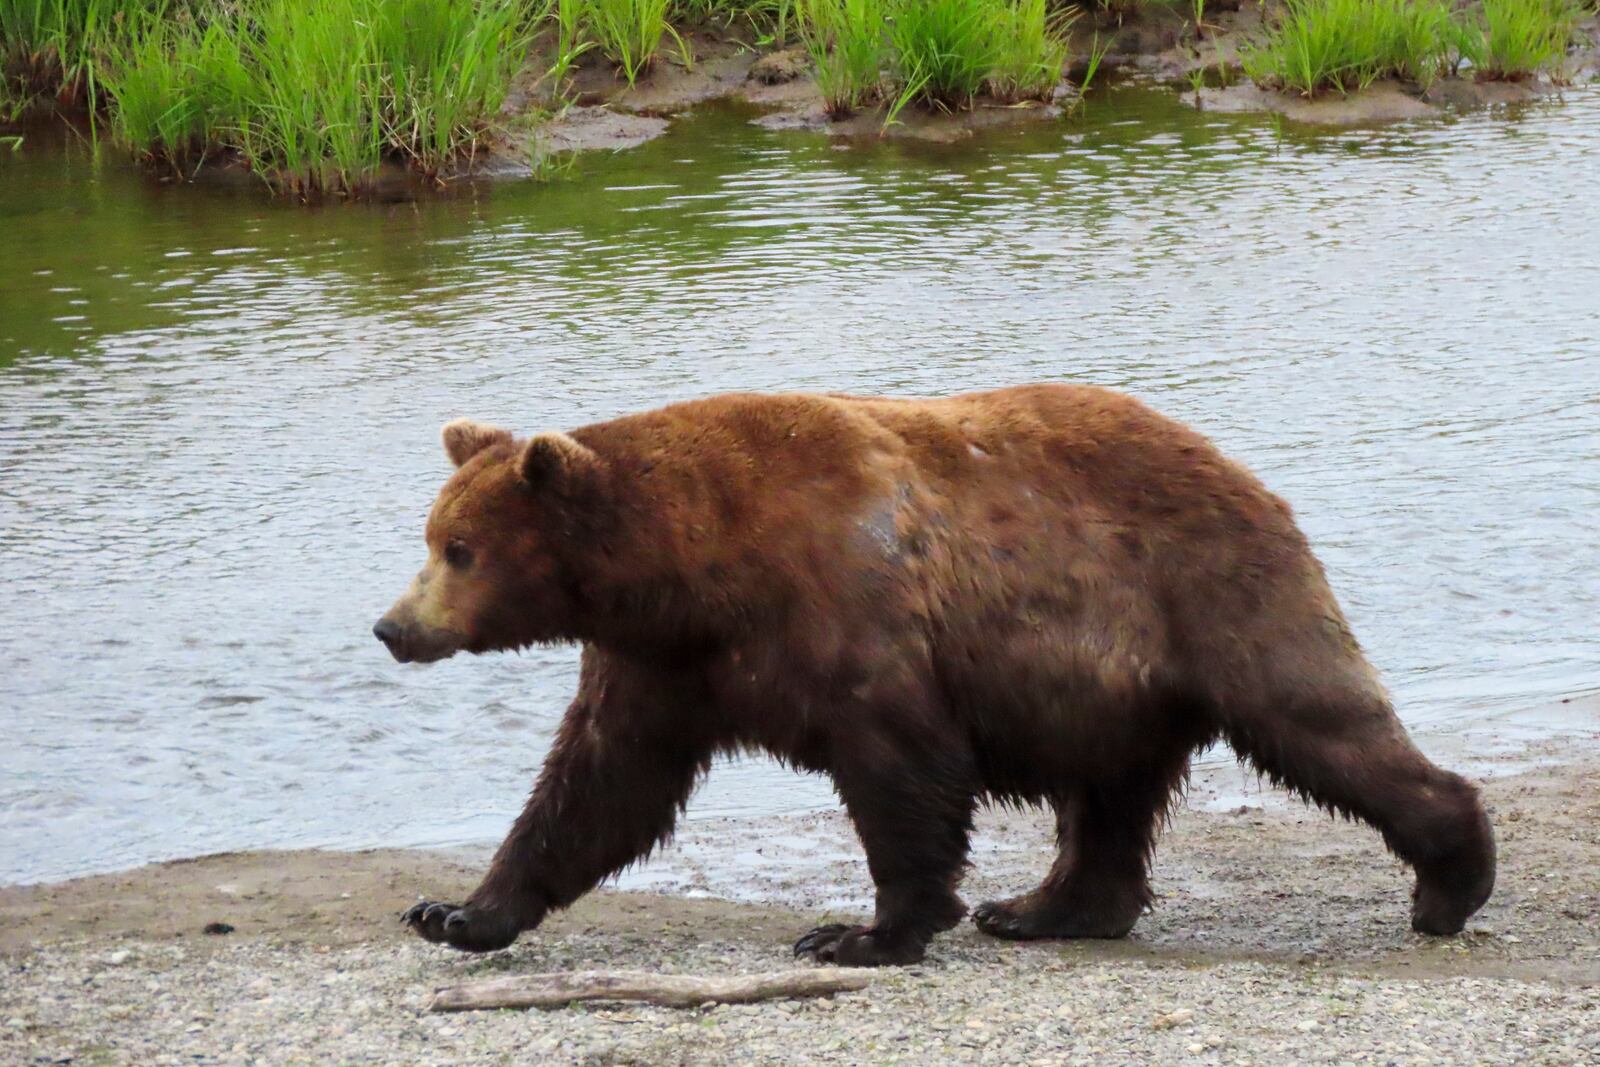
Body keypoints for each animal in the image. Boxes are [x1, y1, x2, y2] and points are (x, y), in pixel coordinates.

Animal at [374, 385, 1497, 966]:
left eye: (461, 547)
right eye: (432, 536)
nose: (392, 626)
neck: (691, 569)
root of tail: (1244, 469)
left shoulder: (848, 616)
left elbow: (900, 771)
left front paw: (862, 931)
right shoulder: (662, 667)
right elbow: (596, 788)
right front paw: (458, 911)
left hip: (1211, 596)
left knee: (1316, 719)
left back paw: (1450, 878)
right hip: (1110, 682)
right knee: (1108, 798)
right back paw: (1044, 906)